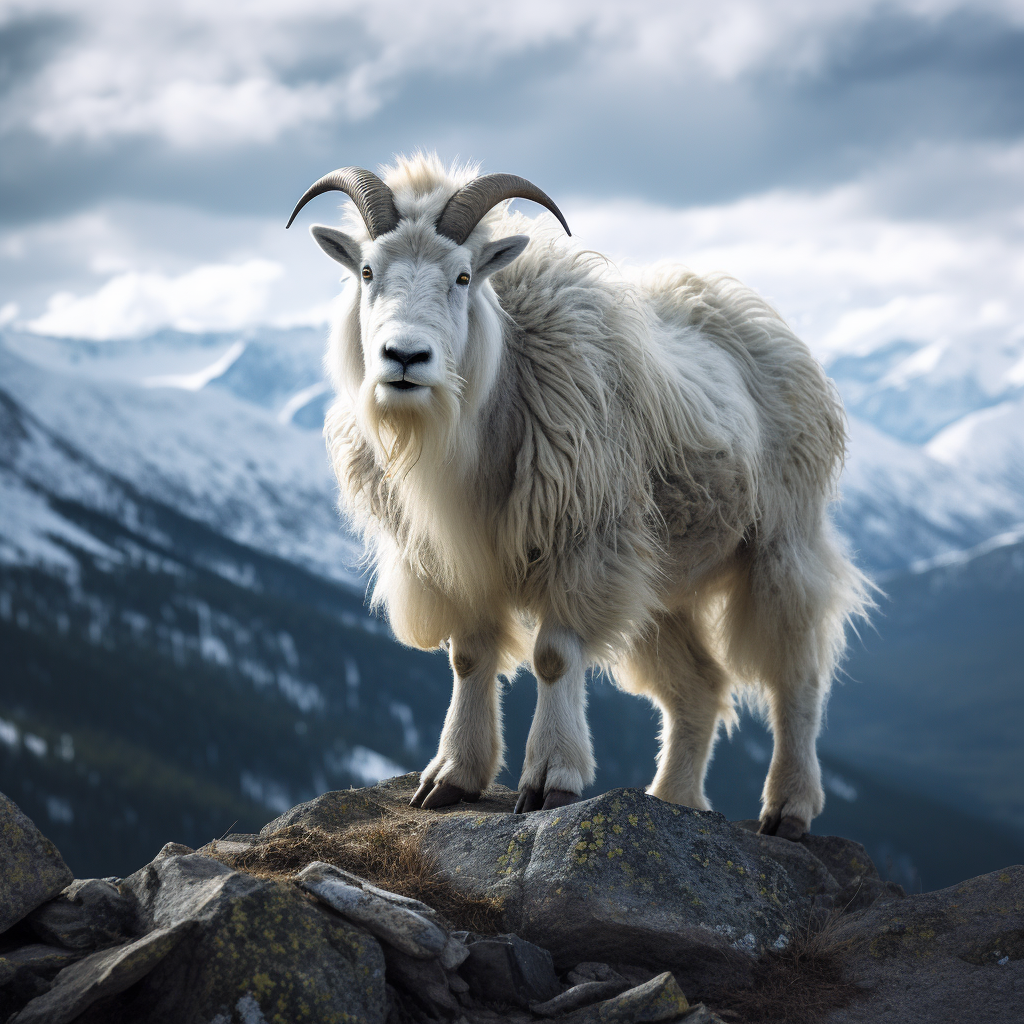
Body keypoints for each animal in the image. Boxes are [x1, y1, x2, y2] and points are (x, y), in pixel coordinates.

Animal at [288, 153, 872, 839]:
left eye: (463, 275)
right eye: (368, 271)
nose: (405, 357)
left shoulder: (583, 544)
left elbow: (553, 657)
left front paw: (552, 781)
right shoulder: (456, 561)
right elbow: (469, 657)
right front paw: (452, 776)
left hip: (781, 543)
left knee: (797, 674)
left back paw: (788, 808)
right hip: (661, 580)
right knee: (699, 687)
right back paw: (672, 799)